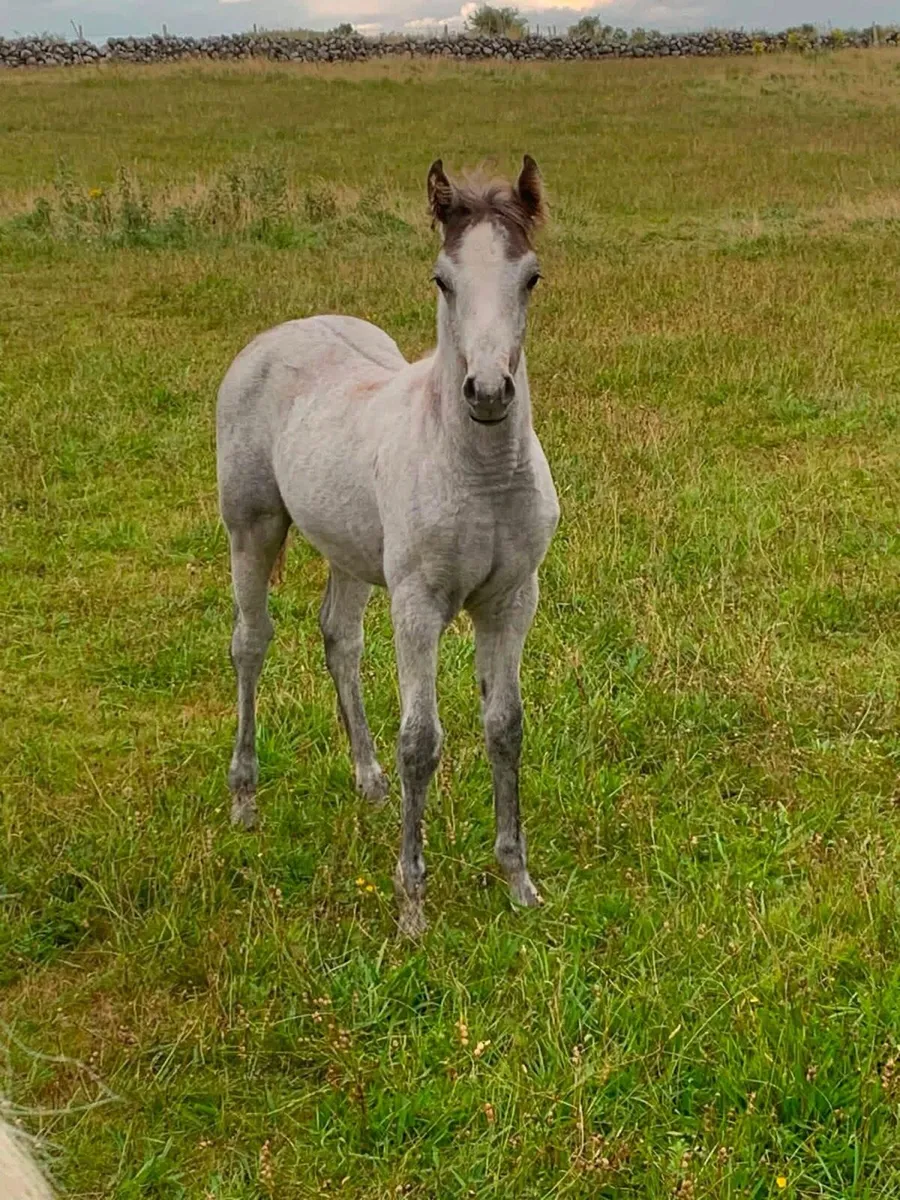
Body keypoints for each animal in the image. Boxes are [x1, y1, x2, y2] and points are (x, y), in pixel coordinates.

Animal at [216, 156, 559, 936]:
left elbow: (507, 725)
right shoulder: (418, 604)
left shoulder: (512, 599)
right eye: (442, 278)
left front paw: (518, 880)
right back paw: (245, 798)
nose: (487, 392)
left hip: (349, 550)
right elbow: (422, 741)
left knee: (339, 637)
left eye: (530, 277)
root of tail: (283, 332)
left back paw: (366, 778)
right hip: (252, 527)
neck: (483, 473)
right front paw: (412, 904)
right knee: (251, 641)